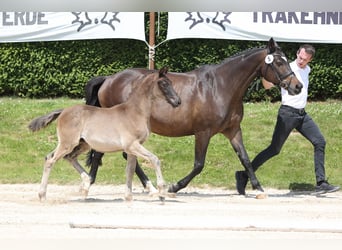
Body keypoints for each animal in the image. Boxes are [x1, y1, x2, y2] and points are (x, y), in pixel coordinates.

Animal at [28, 67, 180, 200]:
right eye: (164, 83)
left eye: (171, 82)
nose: (177, 101)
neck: (135, 111)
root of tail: (63, 111)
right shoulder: (132, 145)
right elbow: (154, 159)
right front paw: (161, 191)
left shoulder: (132, 149)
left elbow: (130, 170)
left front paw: (128, 197)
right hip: (68, 143)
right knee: (50, 160)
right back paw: (43, 195)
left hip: (83, 144)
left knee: (67, 157)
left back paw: (86, 183)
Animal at [85, 38, 302, 196]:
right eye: (279, 62)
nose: (297, 86)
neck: (221, 86)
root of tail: (109, 79)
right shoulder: (203, 132)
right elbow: (199, 164)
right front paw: (174, 187)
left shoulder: (233, 130)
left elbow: (246, 159)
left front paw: (258, 188)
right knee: (103, 153)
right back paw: (93, 183)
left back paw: (145, 186)